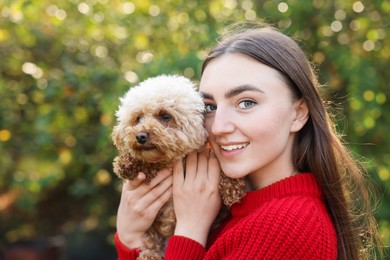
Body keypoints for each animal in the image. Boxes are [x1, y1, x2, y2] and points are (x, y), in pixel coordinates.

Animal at [111, 74, 245, 258]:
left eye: (165, 116)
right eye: (138, 118)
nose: (140, 136)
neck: (173, 160)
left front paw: (233, 188)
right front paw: (125, 163)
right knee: (151, 242)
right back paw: (149, 255)